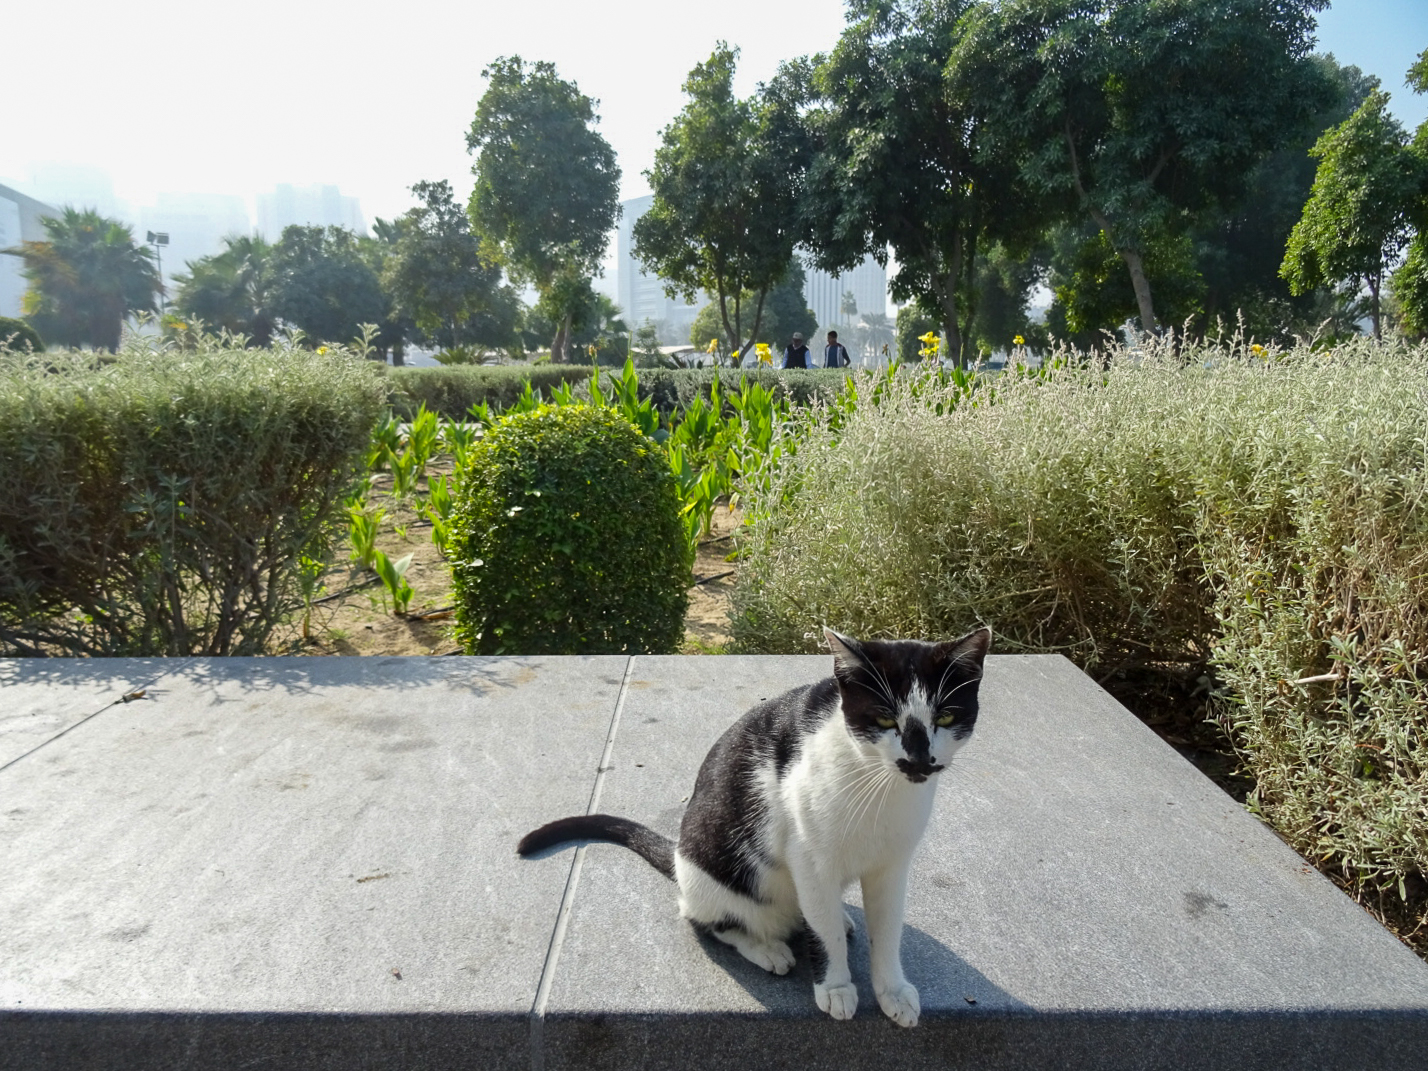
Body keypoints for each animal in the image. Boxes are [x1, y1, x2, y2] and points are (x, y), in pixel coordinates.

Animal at [516, 628, 993, 1033]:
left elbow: (888, 930)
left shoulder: (892, 866)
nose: (919, 759)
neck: (879, 786)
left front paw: (891, 990)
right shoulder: (809, 859)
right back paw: (766, 948)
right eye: (884, 720)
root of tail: (678, 855)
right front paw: (836, 985)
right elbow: (822, 935)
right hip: (712, 874)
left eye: (946, 716)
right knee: (710, 919)